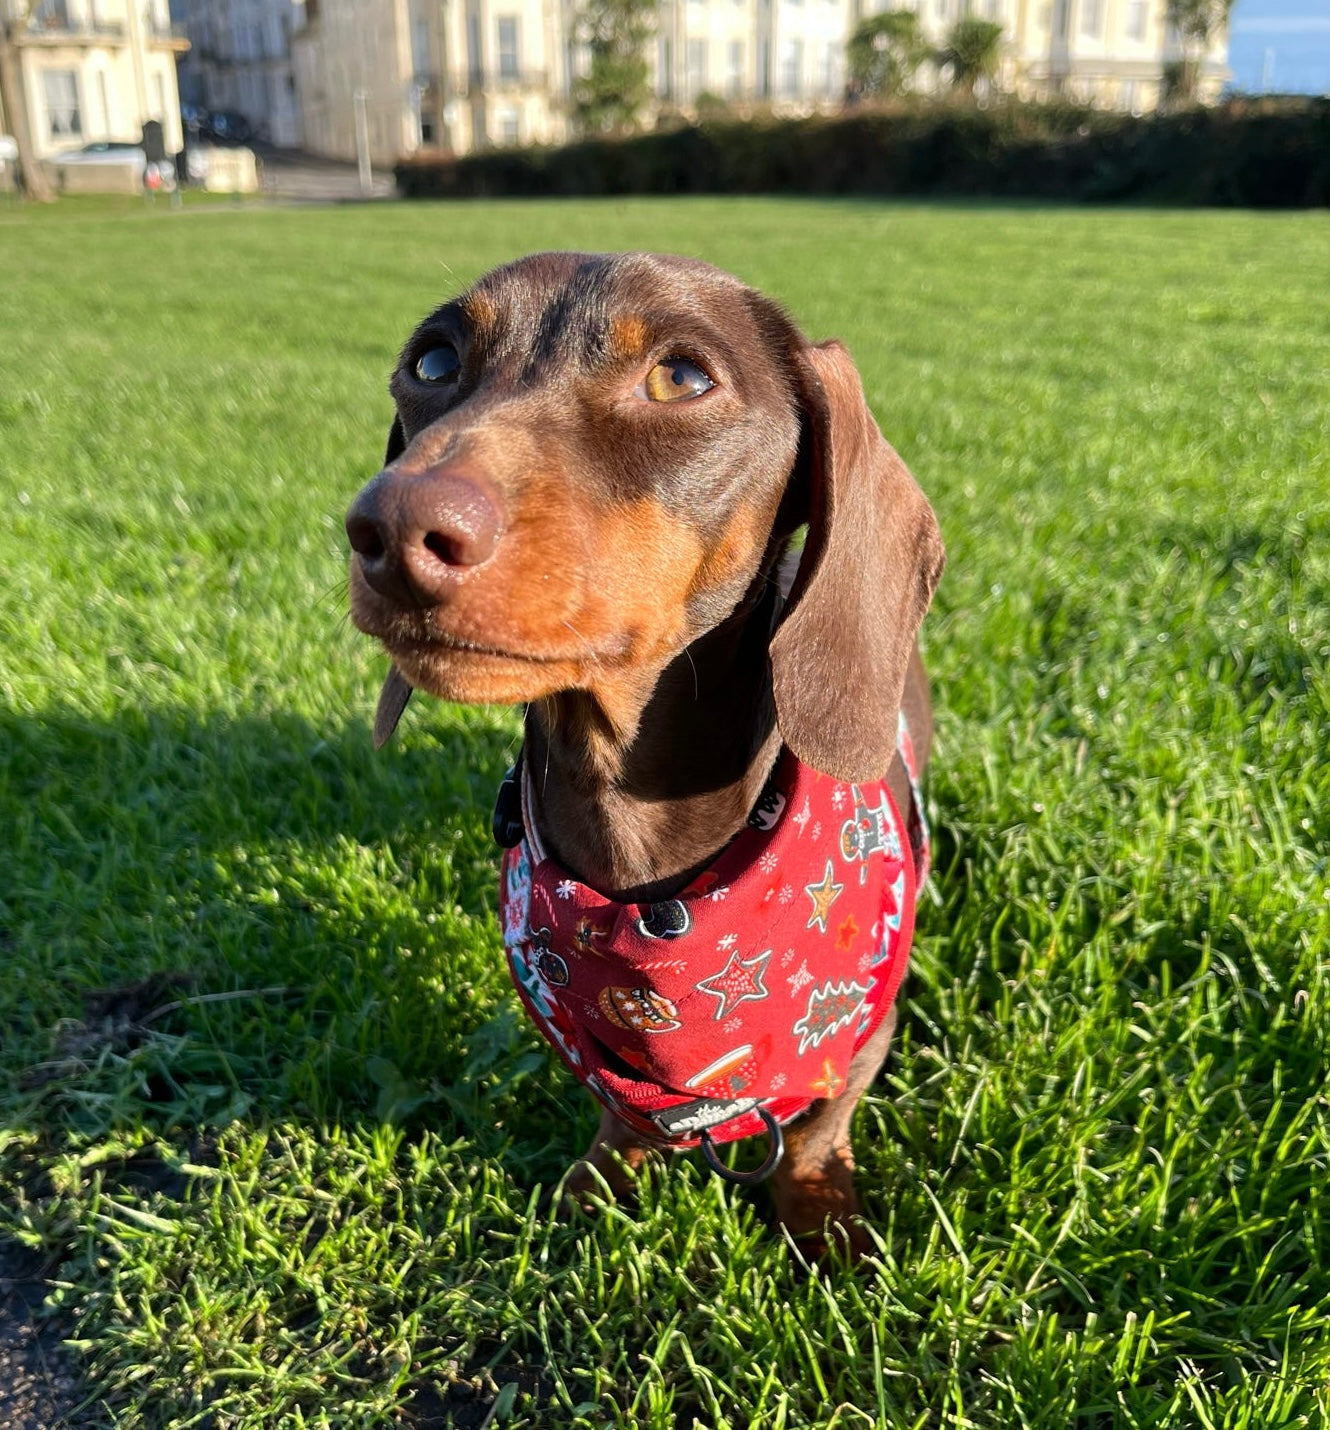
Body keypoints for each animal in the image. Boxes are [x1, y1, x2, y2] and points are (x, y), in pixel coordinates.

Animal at [344, 254, 943, 1252]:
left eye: (683, 377)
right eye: (432, 361)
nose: (388, 532)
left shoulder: (863, 1027)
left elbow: (821, 1121)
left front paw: (822, 1218)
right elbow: (618, 1110)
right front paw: (602, 1180)